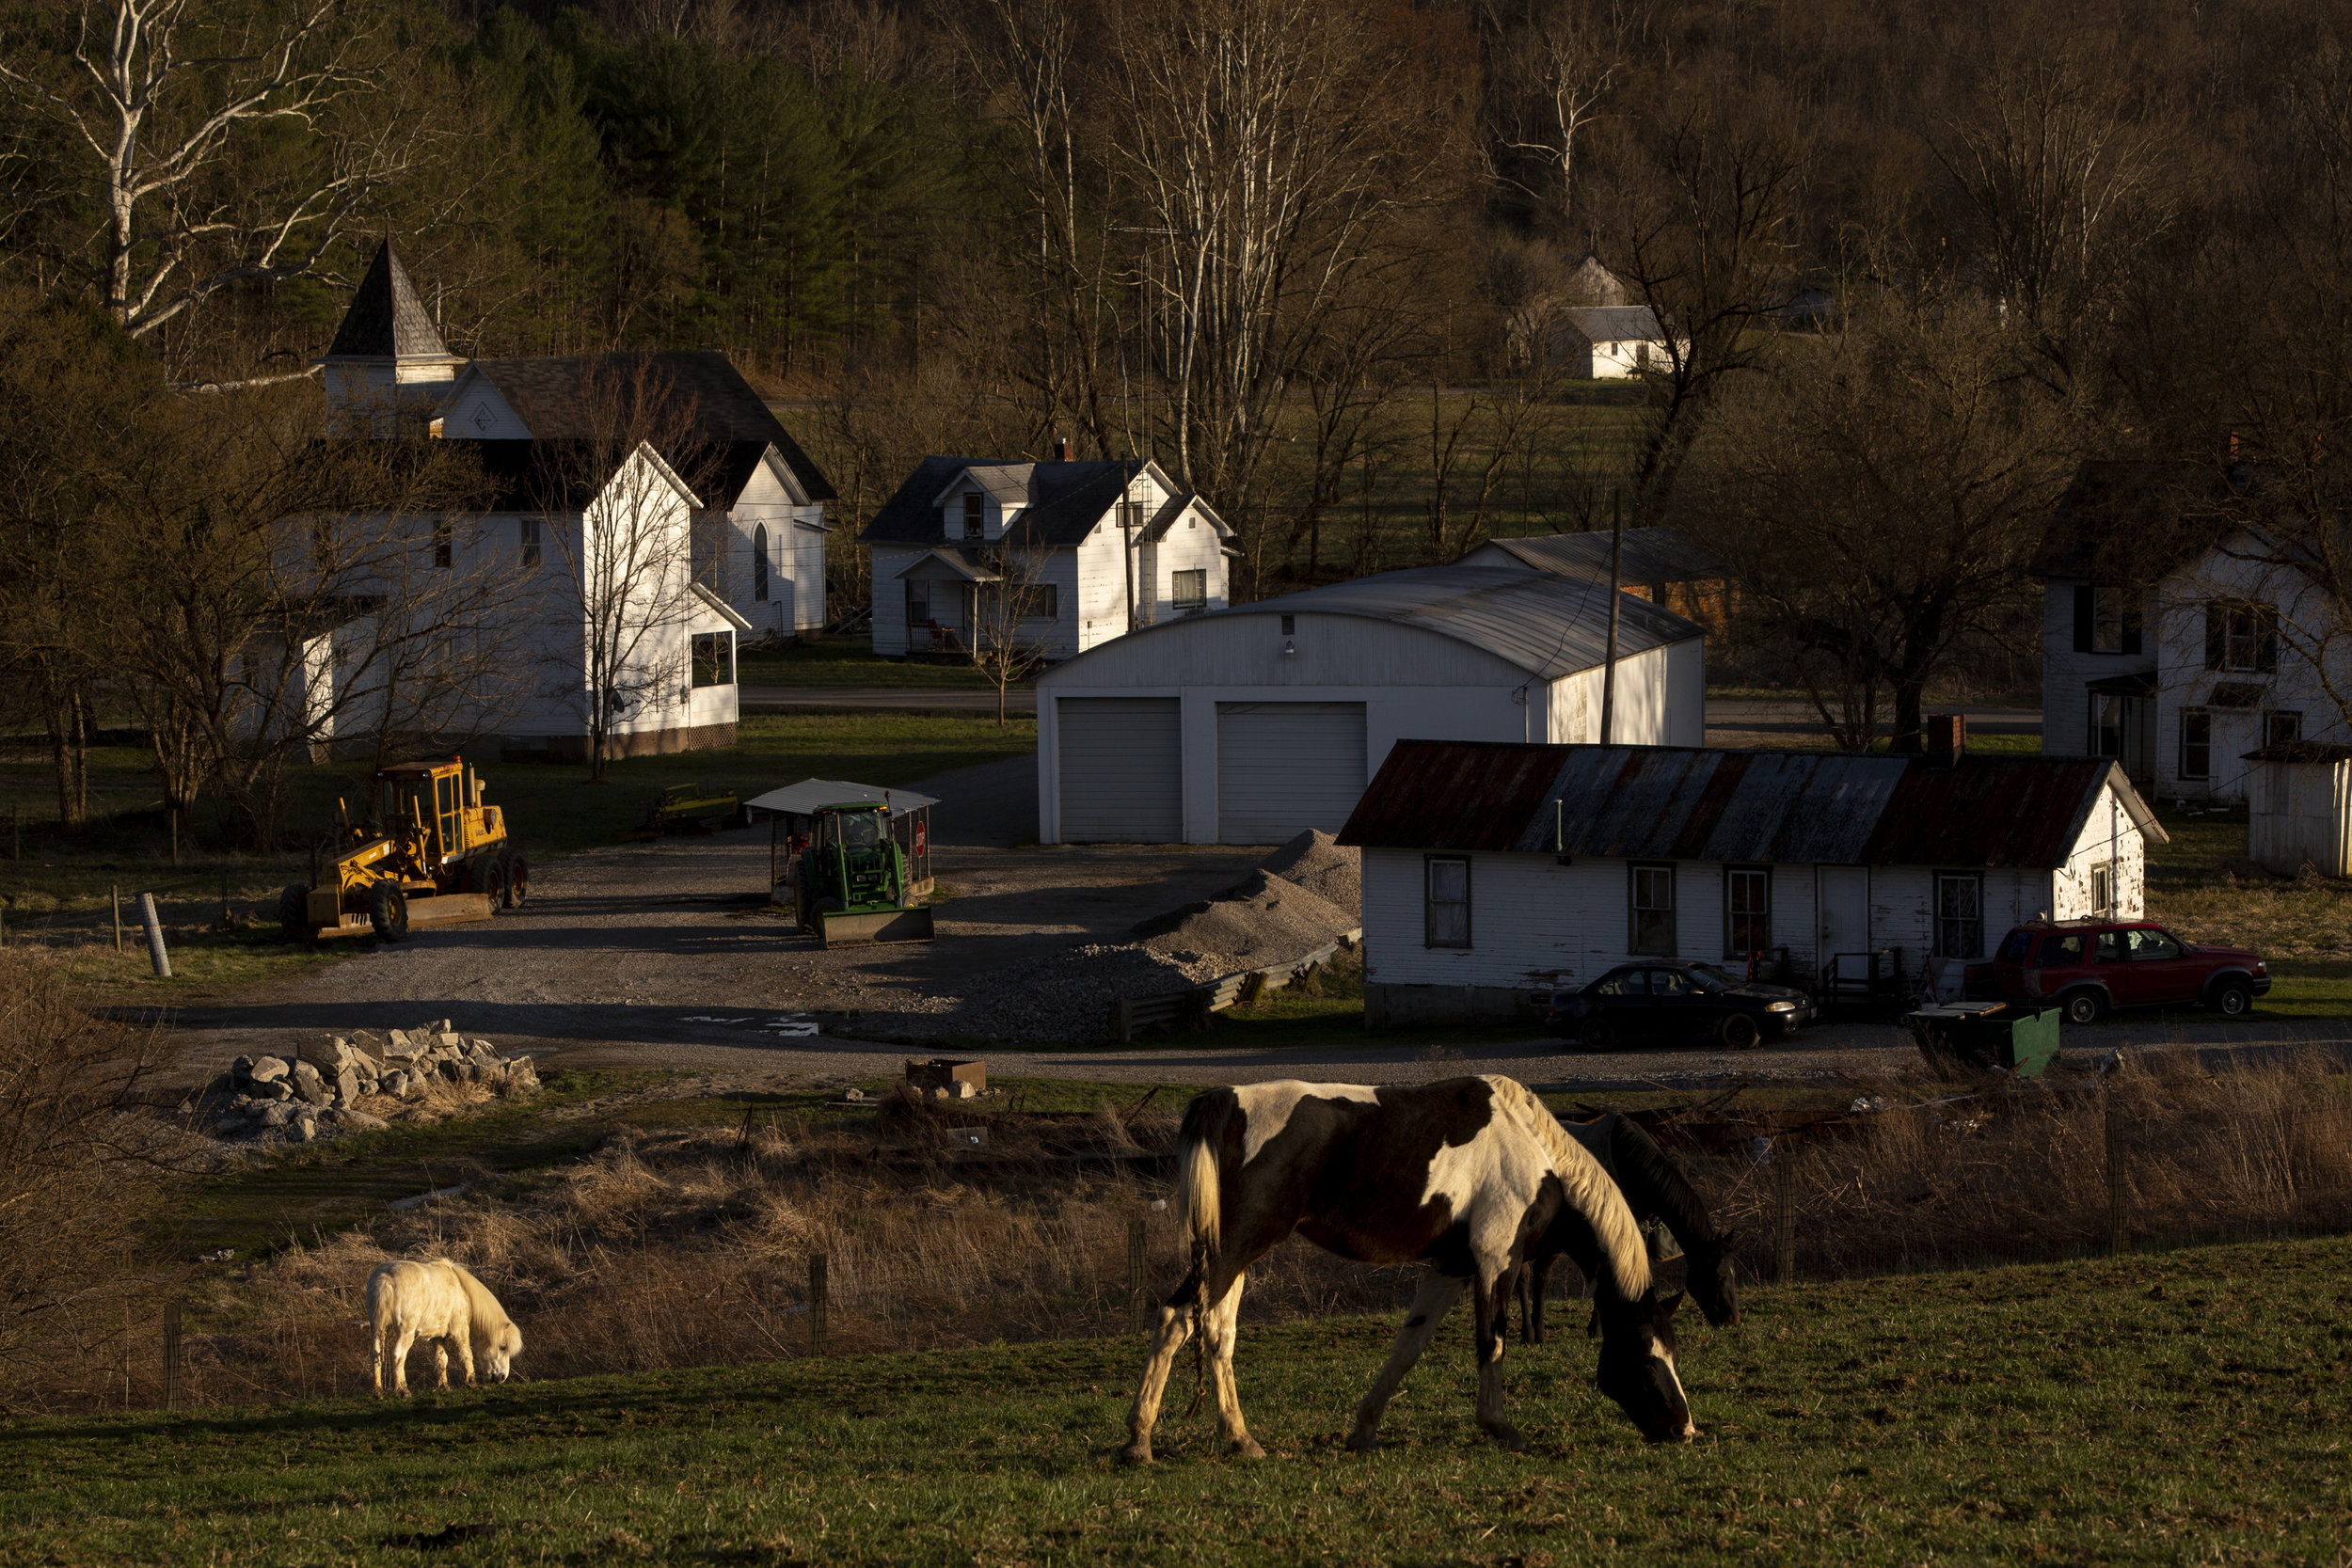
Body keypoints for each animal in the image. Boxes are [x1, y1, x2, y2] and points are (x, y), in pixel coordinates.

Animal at [367, 1259, 524, 1401]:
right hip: (406, 1332)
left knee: (375, 1354)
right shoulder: (460, 1331)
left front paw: (444, 1386)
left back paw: (378, 1392)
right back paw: (402, 1390)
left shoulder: (438, 1337)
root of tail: (385, 1278)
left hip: (377, 1329)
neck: (462, 1291)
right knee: (398, 1355)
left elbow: (441, 1359)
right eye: (503, 1347)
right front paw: (471, 1383)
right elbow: (466, 1355)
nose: (502, 1377)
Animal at [1120, 1071, 1693, 1466]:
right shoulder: (1496, 1261)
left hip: (1237, 1254)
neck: (1534, 1149)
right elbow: (1492, 1343)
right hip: (1235, 1250)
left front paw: (1363, 1430)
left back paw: (1240, 1438)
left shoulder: (1450, 1267)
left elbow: (1408, 1346)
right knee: (1176, 1319)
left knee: (1218, 1332)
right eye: (1648, 1357)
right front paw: (1501, 1428)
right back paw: (1138, 1440)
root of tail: (1223, 1100)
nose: (1684, 1430)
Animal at [1524, 1109, 1750, 1344]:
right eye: (1718, 1276)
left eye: (1733, 1273)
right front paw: (1598, 1328)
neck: (1625, 1160)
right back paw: (1531, 1332)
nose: (1733, 1320)